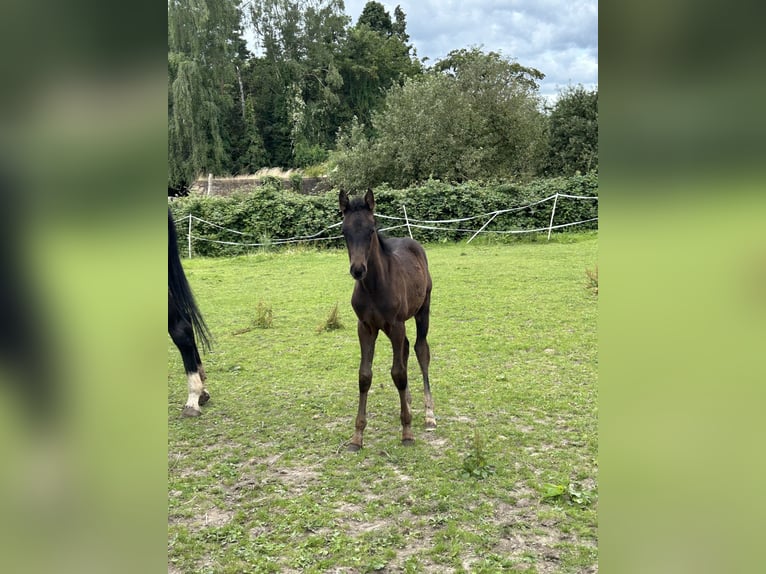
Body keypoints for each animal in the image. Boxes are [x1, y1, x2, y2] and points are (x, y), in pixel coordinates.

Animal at [340, 191, 436, 452]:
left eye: (371, 229)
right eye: (344, 231)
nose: (358, 270)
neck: (374, 286)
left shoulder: (395, 325)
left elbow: (399, 373)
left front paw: (407, 432)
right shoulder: (365, 327)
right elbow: (365, 376)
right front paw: (357, 436)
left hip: (422, 310)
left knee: (420, 349)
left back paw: (429, 414)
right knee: (406, 348)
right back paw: (409, 403)